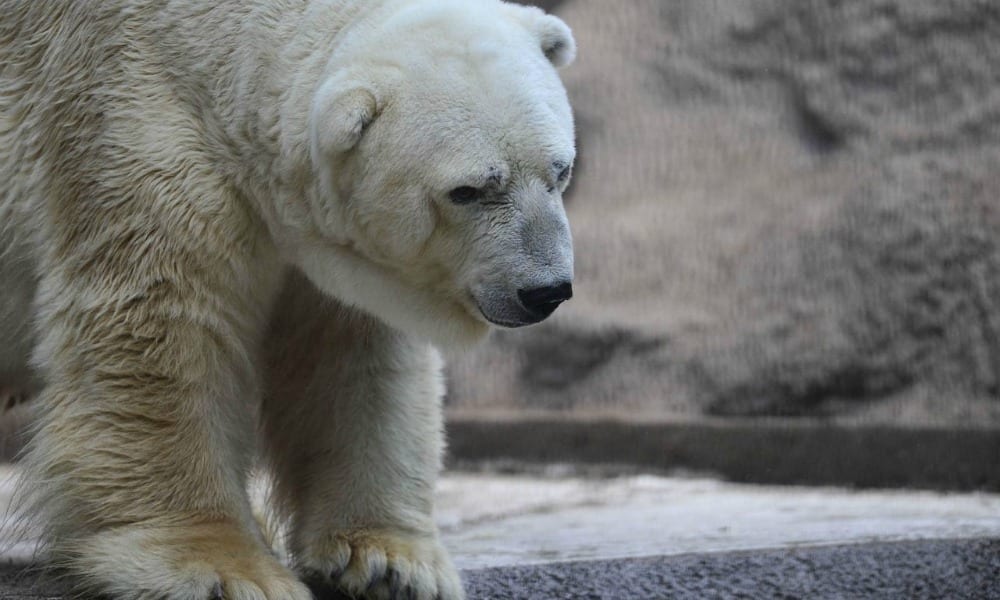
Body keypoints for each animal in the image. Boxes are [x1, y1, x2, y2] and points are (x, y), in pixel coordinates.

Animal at [0, 1, 576, 600]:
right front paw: (222, 568)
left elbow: (351, 355)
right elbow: (160, 327)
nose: (545, 290)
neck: (211, 42)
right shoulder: (131, 123)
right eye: (468, 190)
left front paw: (388, 562)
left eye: (560, 171)